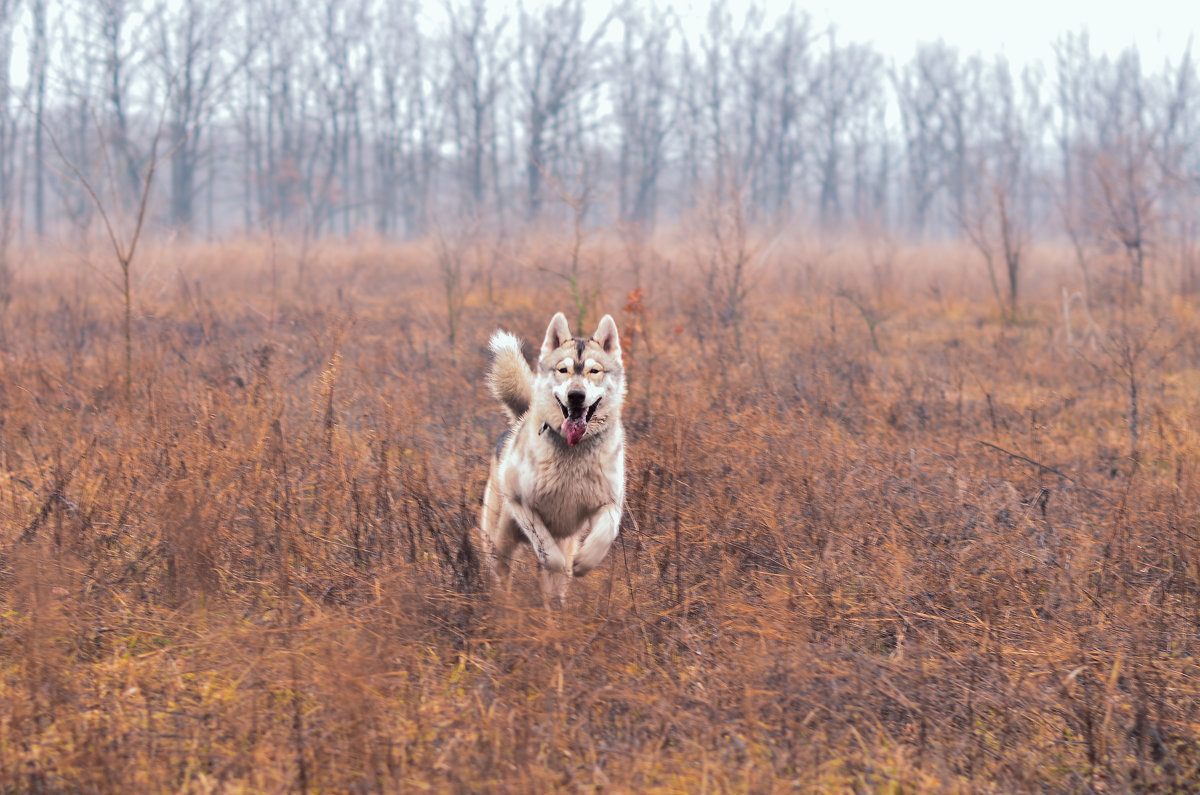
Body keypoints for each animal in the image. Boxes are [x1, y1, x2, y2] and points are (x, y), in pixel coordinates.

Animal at [477, 312, 628, 605]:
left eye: (594, 371)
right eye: (563, 370)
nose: (576, 396)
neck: (572, 453)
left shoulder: (609, 503)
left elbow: (604, 535)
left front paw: (584, 562)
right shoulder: (522, 503)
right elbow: (549, 552)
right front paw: (556, 564)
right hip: (500, 539)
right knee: (502, 570)